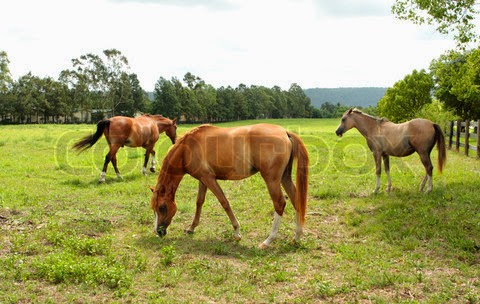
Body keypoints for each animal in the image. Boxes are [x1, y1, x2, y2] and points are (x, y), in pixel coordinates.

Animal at [150, 122, 308, 248]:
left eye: (162, 207)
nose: (159, 231)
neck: (187, 149)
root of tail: (285, 132)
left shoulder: (209, 179)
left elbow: (224, 202)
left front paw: (237, 232)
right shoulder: (202, 179)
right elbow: (199, 202)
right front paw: (191, 228)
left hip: (272, 180)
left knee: (280, 203)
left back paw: (268, 241)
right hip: (284, 178)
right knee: (296, 200)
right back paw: (297, 237)